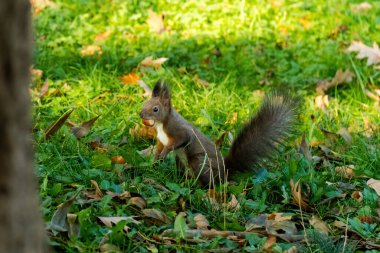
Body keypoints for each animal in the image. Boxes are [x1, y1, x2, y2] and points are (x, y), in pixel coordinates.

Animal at [140, 81, 300, 188]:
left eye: (155, 109)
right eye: (144, 103)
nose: (141, 114)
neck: (161, 125)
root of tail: (225, 172)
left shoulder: (181, 132)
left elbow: (179, 141)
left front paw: (164, 153)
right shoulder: (161, 140)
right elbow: (159, 147)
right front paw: (156, 158)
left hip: (199, 162)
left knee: (209, 182)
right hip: (181, 161)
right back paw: (181, 180)